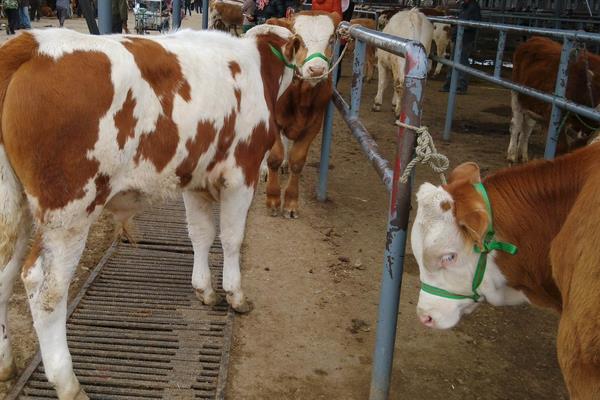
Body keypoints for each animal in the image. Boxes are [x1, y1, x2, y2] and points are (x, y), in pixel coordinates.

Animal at [0, 25, 300, 400]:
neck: (254, 64)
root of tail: (32, 42)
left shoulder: (195, 180)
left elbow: (201, 235)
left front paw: (204, 289)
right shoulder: (240, 174)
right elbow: (231, 238)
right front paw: (235, 294)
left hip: (16, 207)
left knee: (4, 274)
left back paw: (5, 365)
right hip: (68, 213)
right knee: (46, 290)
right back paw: (68, 383)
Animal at [506, 36, 600, 164]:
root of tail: (534, 38)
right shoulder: (554, 113)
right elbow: (562, 147)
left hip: (533, 102)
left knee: (527, 127)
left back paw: (523, 156)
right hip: (516, 94)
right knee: (516, 124)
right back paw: (512, 155)